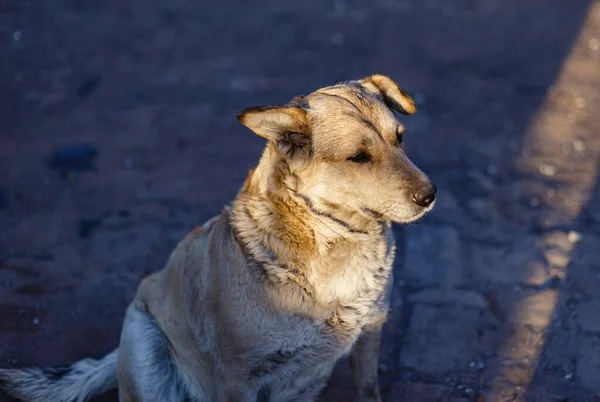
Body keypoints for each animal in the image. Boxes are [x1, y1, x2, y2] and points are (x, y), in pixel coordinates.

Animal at [0, 74, 436, 400]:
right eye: (358, 157)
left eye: (399, 138)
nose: (429, 195)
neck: (330, 240)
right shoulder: (237, 375)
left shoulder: (369, 335)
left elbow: (368, 389)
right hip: (144, 343)